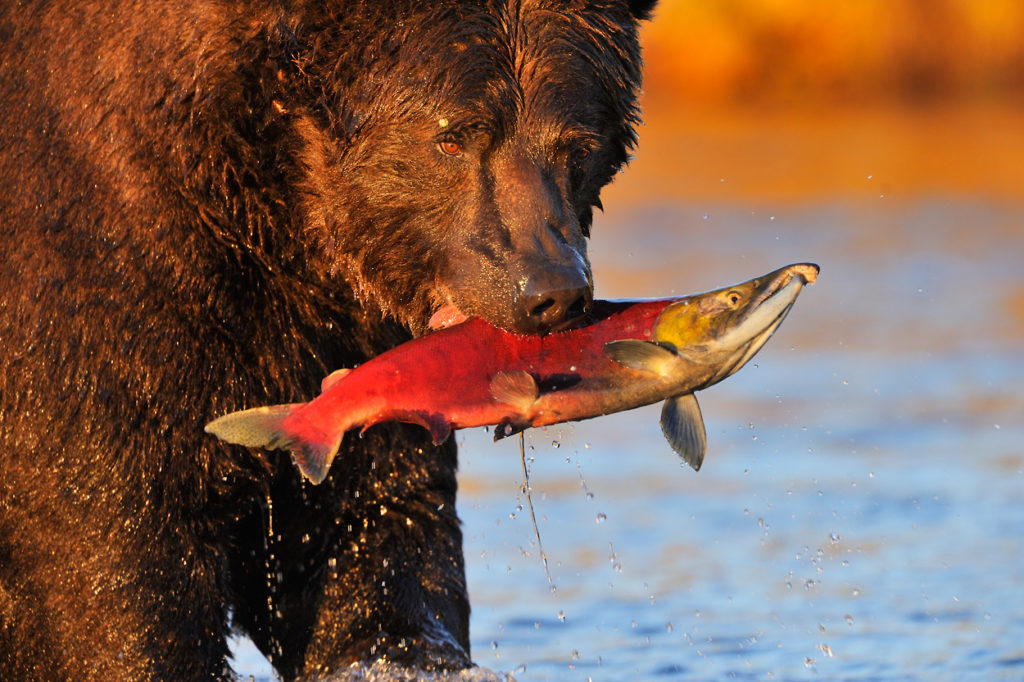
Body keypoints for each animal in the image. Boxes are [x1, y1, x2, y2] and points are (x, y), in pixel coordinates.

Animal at [0, 2, 655, 675]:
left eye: (579, 145)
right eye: (451, 137)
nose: (551, 290)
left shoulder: (355, 362)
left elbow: (373, 541)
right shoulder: (105, 303)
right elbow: (120, 560)